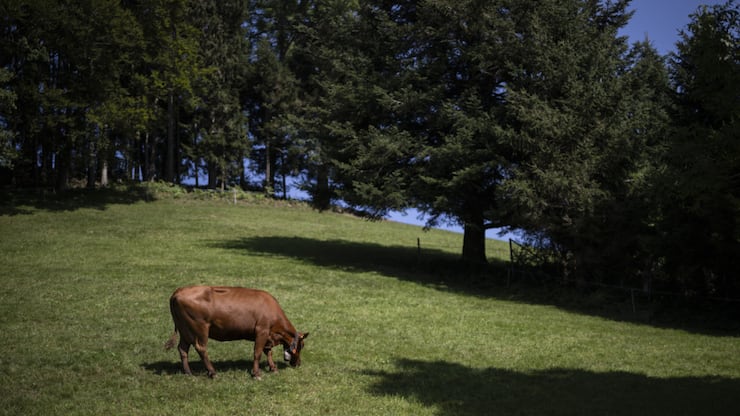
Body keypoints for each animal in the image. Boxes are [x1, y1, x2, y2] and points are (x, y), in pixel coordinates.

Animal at [164, 285, 309, 380]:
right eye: (301, 346)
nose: (298, 364)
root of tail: (178, 291)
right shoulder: (262, 330)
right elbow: (257, 353)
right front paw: (256, 374)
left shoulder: (268, 335)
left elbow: (268, 352)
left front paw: (273, 368)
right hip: (199, 328)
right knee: (201, 348)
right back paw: (212, 372)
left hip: (185, 330)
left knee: (183, 349)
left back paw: (188, 373)